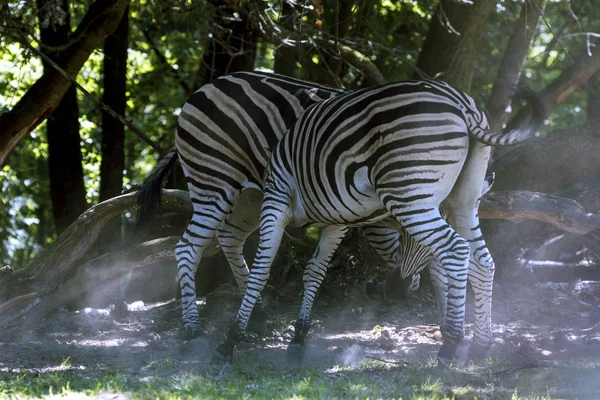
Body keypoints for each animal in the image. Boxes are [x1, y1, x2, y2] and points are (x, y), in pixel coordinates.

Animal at [138, 71, 422, 338]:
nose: (399, 290)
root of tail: (205, 87)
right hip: (213, 180)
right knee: (188, 248)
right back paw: (193, 327)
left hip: (252, 198)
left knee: (230, 237)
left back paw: (258, 315)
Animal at [214, 78, 544, 362]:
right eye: (406, 238)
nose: (395, 291)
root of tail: (462, 104)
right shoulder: (334, 218)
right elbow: (313, 271)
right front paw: (297, 337)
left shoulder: (277, 197)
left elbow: (261, 270)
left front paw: (231, 339)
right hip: (462, 200)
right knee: (483, 261)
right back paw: (480, 346)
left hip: (410, 195)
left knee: (457, 250)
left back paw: (450, 346)